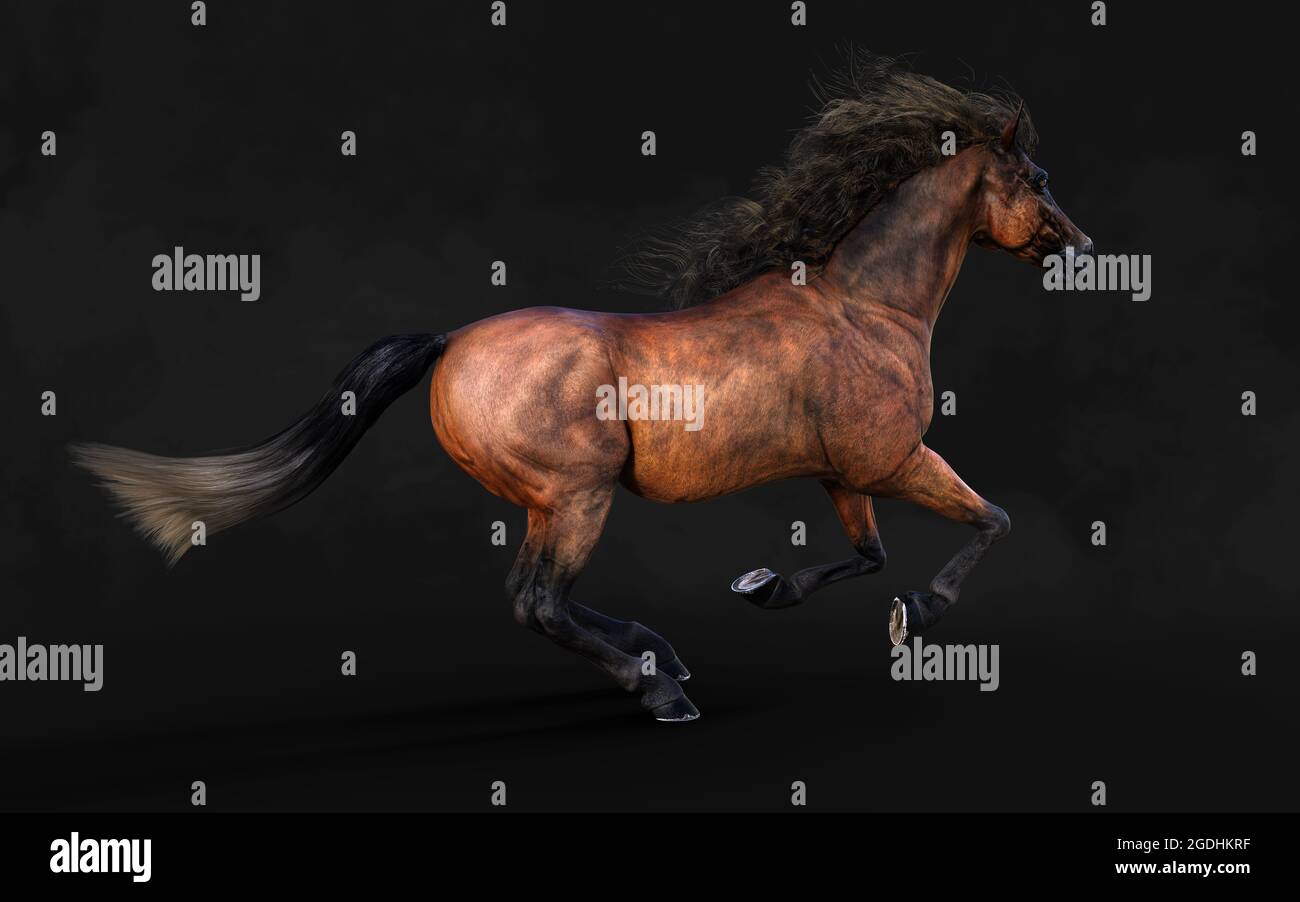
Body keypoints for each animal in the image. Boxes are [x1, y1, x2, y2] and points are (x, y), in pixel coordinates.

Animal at [71, 54, 1090, 723]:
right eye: (1036, 176)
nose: (1081, 248)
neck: (865, 305)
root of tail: (452, 342)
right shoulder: (896, 459)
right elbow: (990, 521)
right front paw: (916, 614)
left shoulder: (847, 475)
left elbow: (869, 556)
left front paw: (767, 586)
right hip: (578, 493)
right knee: (541, 602)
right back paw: (660, 686)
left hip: (547, 501)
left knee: (532, 596)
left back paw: (661, 652)